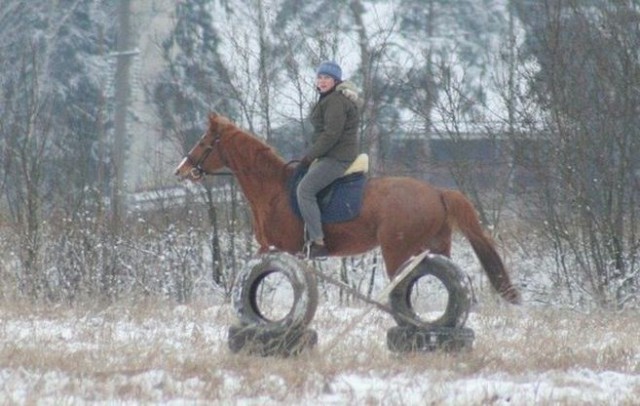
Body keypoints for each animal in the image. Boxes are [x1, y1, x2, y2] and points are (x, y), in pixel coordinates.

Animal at [174, 112, 520, 302]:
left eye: (204, 143)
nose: (181, 170)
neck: (272, 190)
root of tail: (436, 191)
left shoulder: (279, 250)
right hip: (435, 247)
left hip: (397, 250)